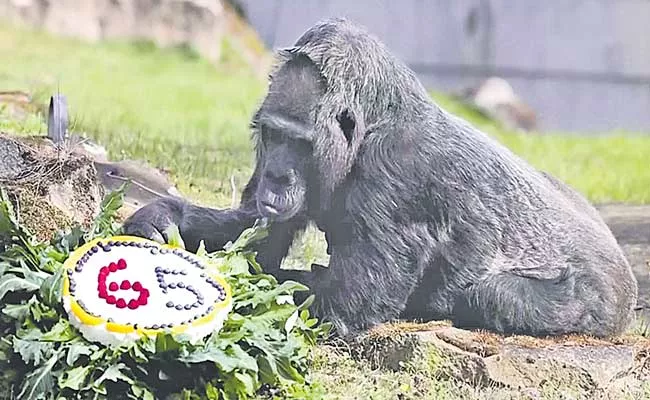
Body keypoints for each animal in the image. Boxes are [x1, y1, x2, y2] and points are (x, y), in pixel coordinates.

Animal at [123, 18, 636, 338]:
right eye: (272, 135)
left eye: (300, 144)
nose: (276, 175)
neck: (373, 125)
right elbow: (255, 231)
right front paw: (159, 220)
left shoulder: (396, 171)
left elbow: (333, 311)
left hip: (605, 302)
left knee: (492, 298)